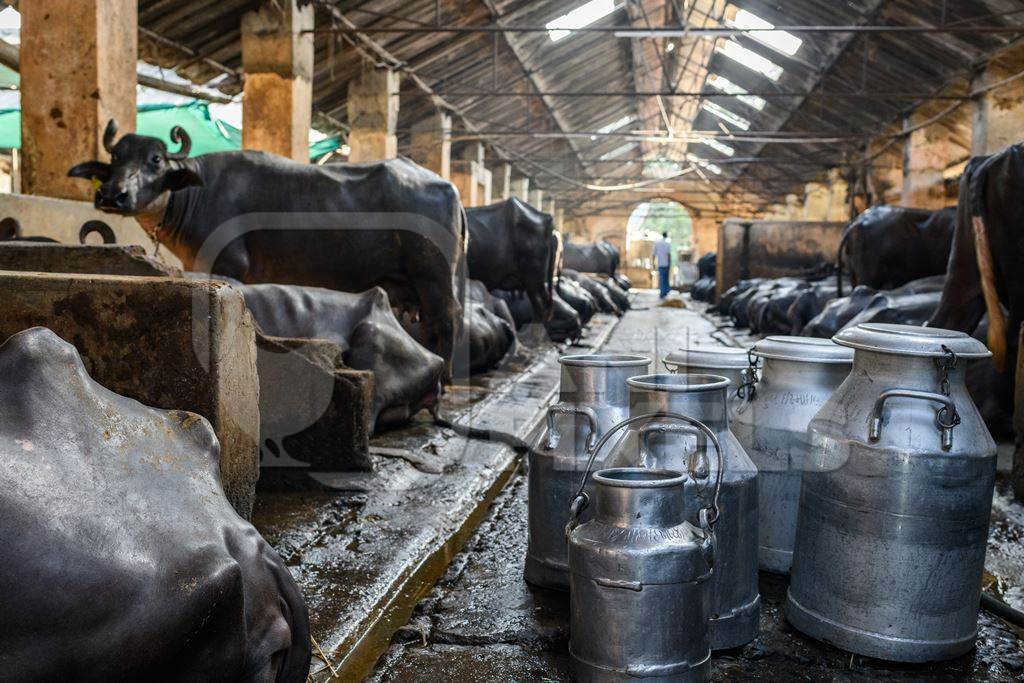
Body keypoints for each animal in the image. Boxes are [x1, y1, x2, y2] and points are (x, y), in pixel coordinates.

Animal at [73, 119, 468, 376]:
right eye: (115, 158)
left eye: (155, 160)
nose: (112, 195)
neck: (195, 195)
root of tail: (448, 188)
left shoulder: (230, 264)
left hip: (434, 278)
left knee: (446, 320)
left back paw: (447, 377)